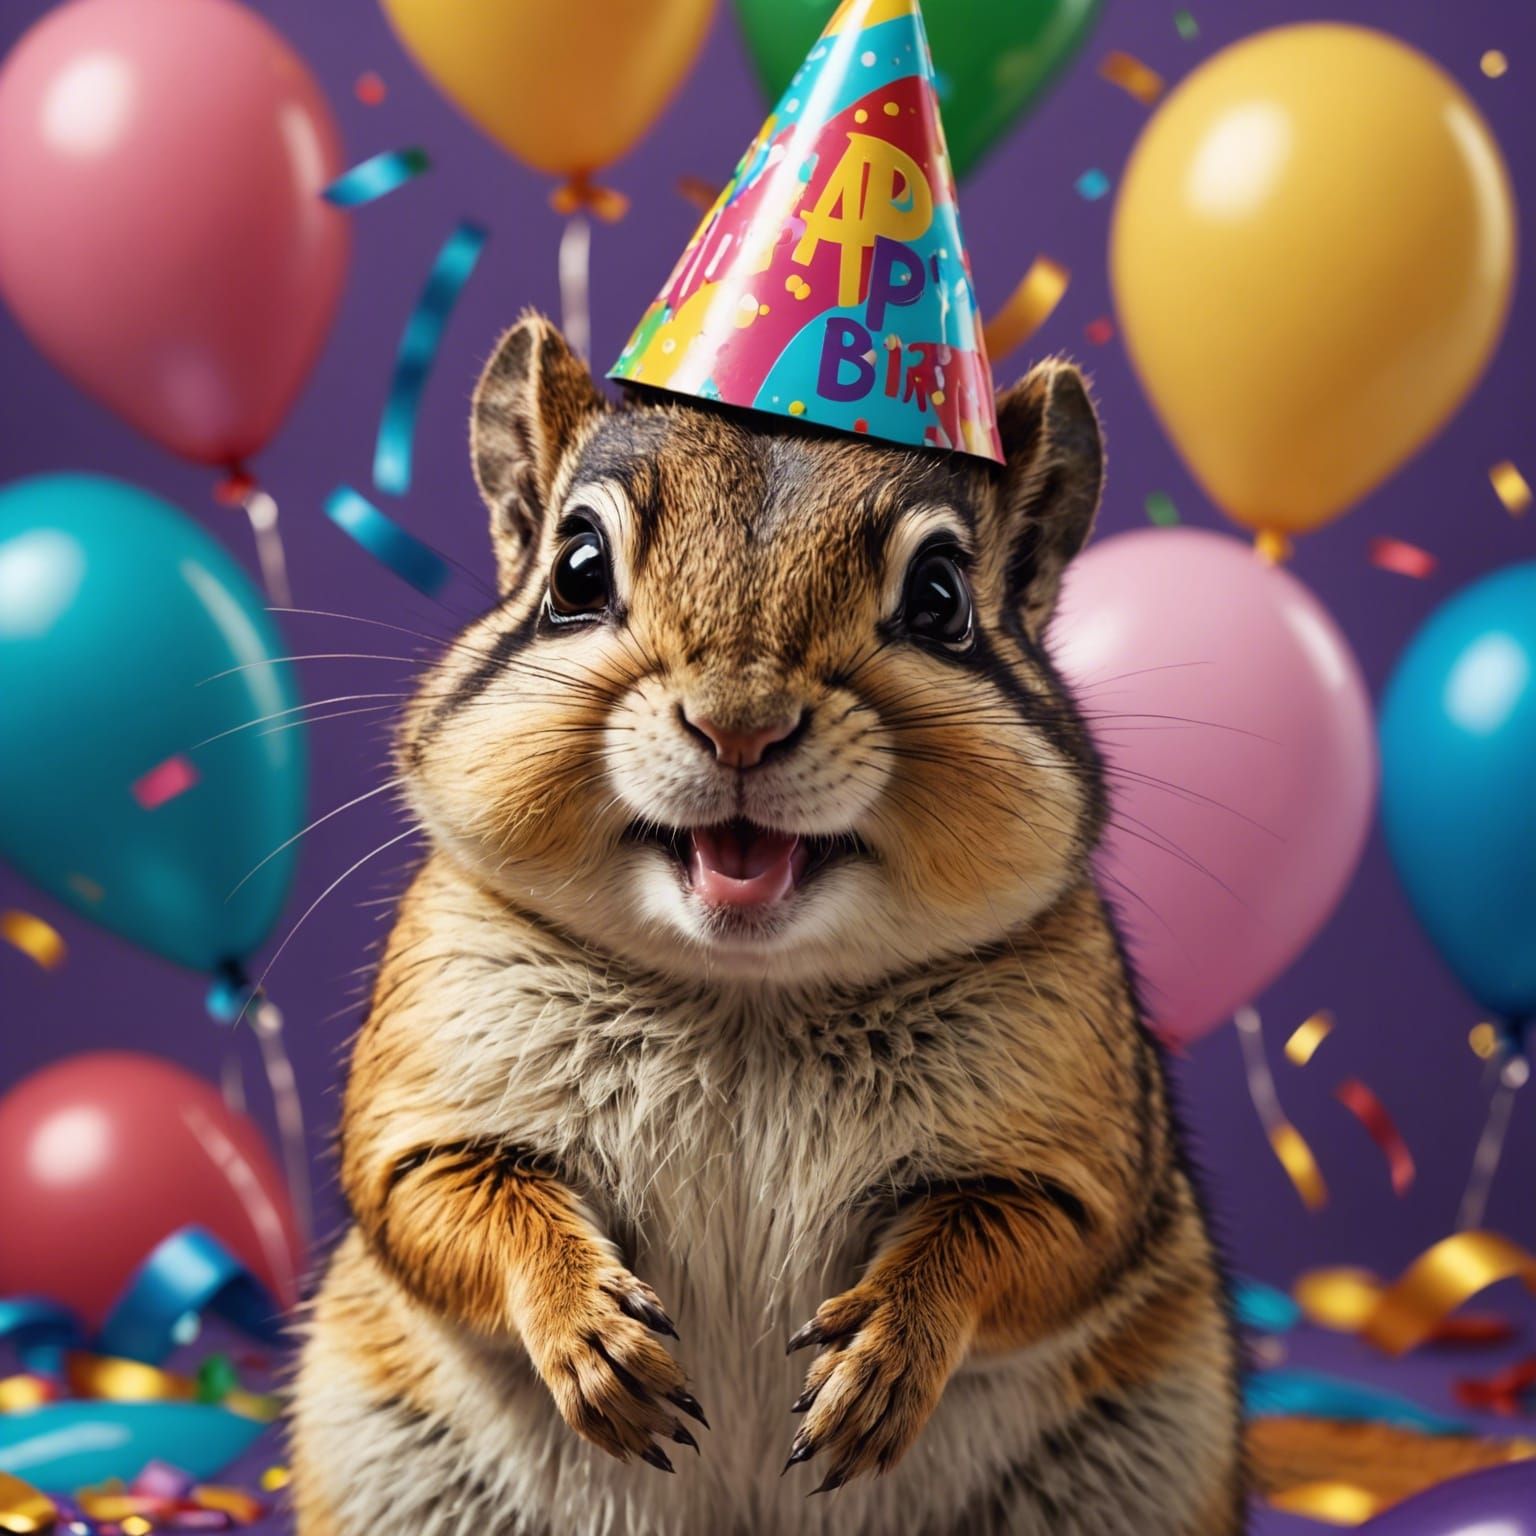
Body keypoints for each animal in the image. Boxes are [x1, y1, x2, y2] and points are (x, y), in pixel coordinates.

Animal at [291, 314, 1520, 1535]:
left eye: (940, 597)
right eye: (576, 569)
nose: (739, 724)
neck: (747, 993)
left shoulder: (1079, 1155)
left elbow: (1015, 1239)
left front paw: (885, 1358)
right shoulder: (425, 1094)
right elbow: (447, 1204)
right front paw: (590, 1334)